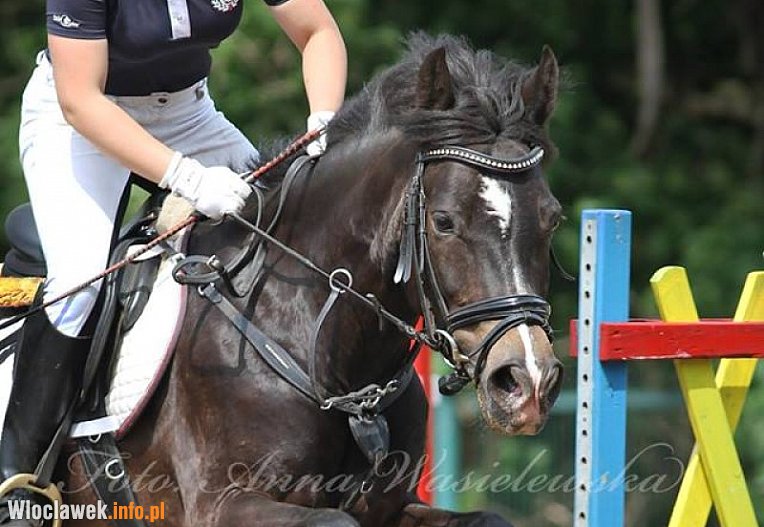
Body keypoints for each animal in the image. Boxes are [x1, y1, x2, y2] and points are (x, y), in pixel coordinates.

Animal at [60, 33, 564, 526]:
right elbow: (333, 521)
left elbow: (489, 518)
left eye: (553, 219)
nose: (527, 382)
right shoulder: (221, 503)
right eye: (443, 222)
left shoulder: (393, 506)